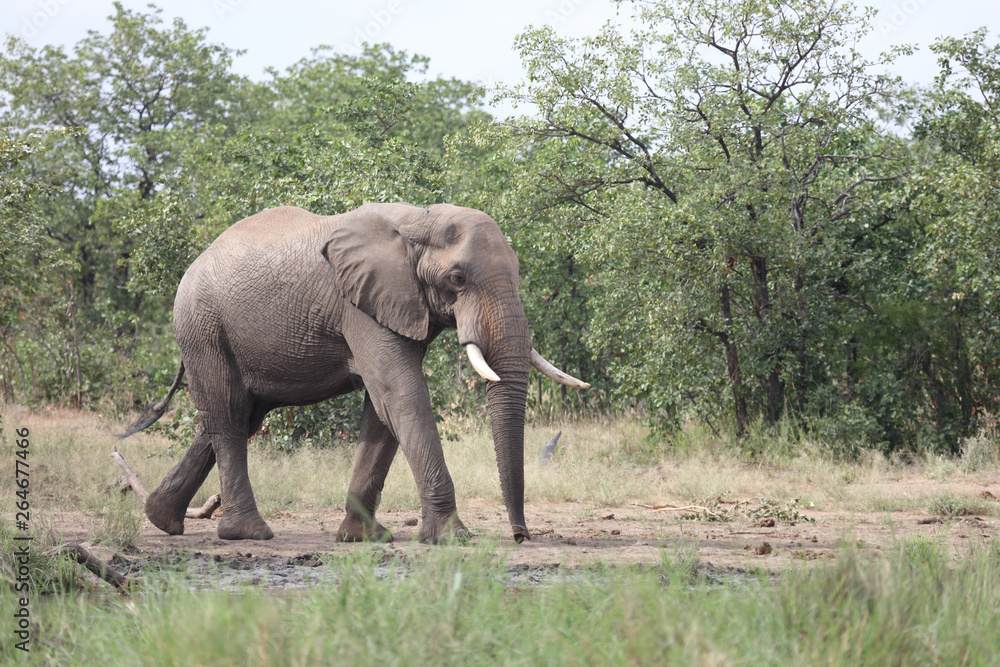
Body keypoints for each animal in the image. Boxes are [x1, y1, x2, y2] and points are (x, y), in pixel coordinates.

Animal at [119, 202, 584, 544]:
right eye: (457, 278)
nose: (521, 537)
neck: (419, 220)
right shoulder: (360, 306)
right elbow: (401, 394)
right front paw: (452, 539)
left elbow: (381, 410)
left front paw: (364, 539)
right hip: (202, 325)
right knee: (230, 416)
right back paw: (248, 534)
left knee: (233, 417)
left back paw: (161, 520)